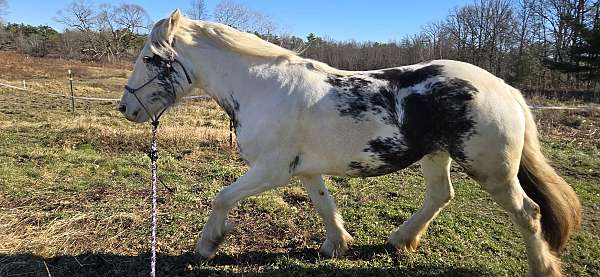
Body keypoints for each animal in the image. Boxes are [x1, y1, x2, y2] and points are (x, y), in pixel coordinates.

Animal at [118, 9, 580, 274]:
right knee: (440, 195)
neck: (262, 88)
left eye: (150, 58)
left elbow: (222, 197)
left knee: (529, 213)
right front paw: (336, 245)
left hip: (493, 170)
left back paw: (543, 269)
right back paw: (401, 240)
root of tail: (505, 89)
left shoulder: (271, 171)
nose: (126, 108)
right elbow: (325, 205)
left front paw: (207, 245)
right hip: (437, 155)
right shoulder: (304, 170)